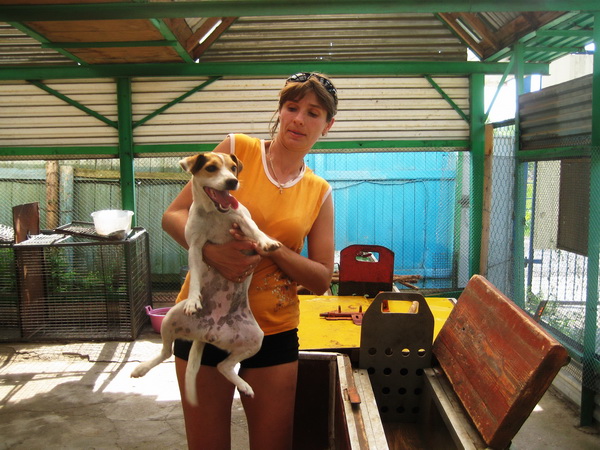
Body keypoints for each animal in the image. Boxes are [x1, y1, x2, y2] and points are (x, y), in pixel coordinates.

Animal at [131, 152, 281, 405]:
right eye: (211, 168)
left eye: (233, 168)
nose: (232, 182)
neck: (215, 212)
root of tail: (208, 334)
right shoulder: (194, 246)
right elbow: (196, 278)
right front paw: (194, 300)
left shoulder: (243, 222)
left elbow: (255, 230)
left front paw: (267, 241)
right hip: (170, 318)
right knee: (167, 352)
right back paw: (141, 368)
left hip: (256, 338)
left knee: (223, 366)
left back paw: (244, 385)